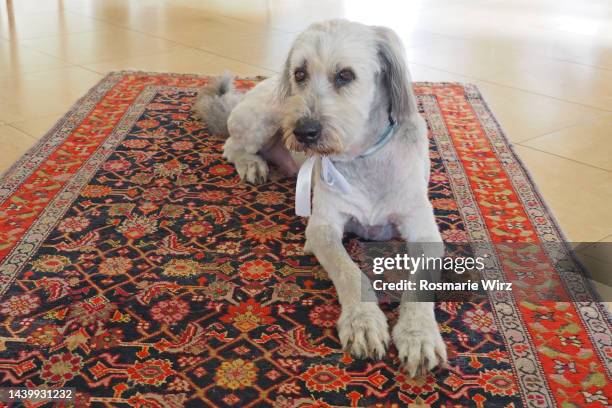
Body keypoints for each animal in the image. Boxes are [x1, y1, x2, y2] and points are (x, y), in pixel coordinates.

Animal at [194, 18, 448, 376]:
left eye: (345, 75)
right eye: (300, 73)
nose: (304, 132)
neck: (361, 156)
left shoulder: (425, 232)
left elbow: (420, 282)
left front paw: (418, 333)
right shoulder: (322, 227)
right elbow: (349, 272)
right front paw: (362, 321)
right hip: (265, 117)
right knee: (232, 145)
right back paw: (252, 164)